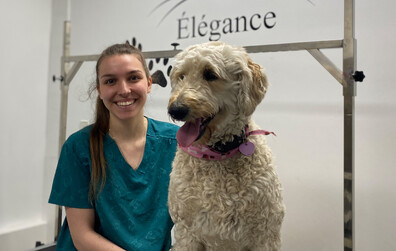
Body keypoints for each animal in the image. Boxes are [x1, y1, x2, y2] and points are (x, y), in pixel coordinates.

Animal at [167, 41, 284, 251]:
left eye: (210, 74)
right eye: (181, 76)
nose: (176, 109)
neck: (216, 154)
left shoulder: (266, 234)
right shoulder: (187, 232)